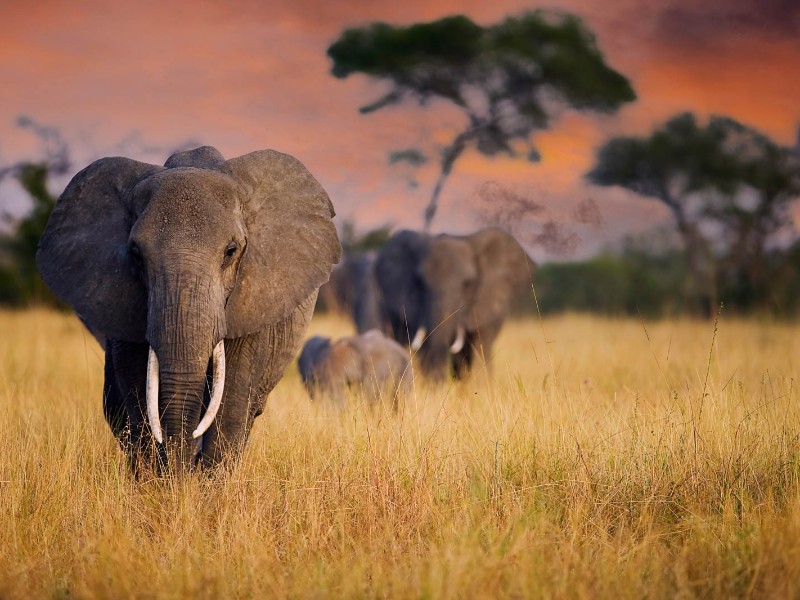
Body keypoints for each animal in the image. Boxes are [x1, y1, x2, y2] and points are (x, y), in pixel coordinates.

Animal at [36, 145, 341, 473]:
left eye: (231, 251)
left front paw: (205, 484)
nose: (182, 473)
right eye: (136, 254)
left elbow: (232, 399)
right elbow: (137, 391)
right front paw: (158, 481)